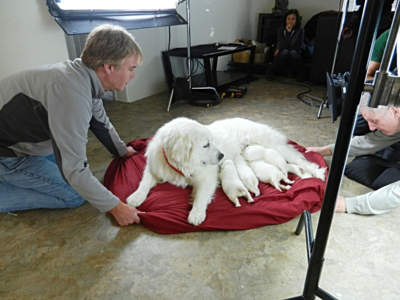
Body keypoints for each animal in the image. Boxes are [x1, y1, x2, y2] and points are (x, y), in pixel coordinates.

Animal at [127, 116, 324, 225]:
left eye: (211, 142)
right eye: (206, 145)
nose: (221, 155)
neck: (180, 166)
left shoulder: (207, 178)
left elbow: (200, 196)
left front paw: (196, 214)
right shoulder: (155, 168)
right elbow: (144, 183)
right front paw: (136, 197)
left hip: (275, 147)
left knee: (301, 160)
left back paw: (317, 173)